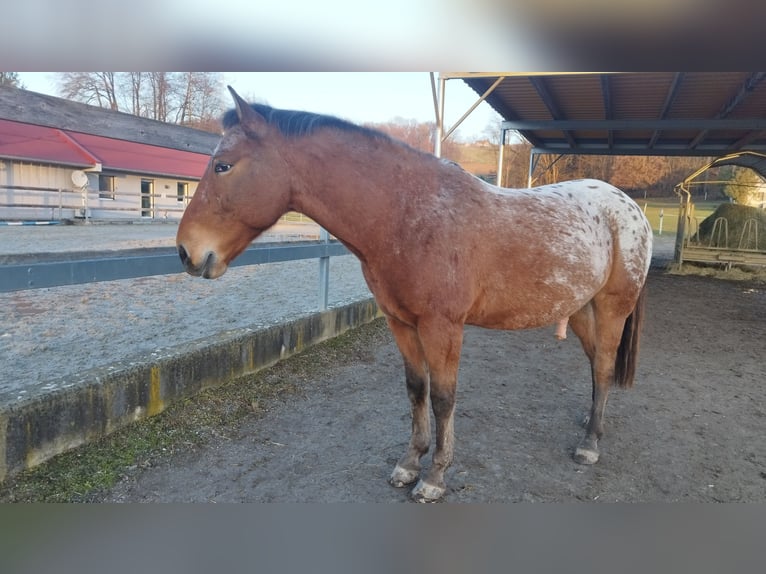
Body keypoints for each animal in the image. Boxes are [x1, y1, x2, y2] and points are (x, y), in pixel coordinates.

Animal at [177, 87, 653, 502]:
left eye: (222, 166)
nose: (186, 252)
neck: (408, 214)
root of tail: (631, 210)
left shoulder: (443, 327)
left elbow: (443, 398)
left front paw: (435, 477)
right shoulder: (401, 322)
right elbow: (415, 389)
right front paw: (409, 464)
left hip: (612, 308)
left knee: (604, 366)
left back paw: (589, 443)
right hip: (580, 310)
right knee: (596, 365)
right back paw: (591, 420)